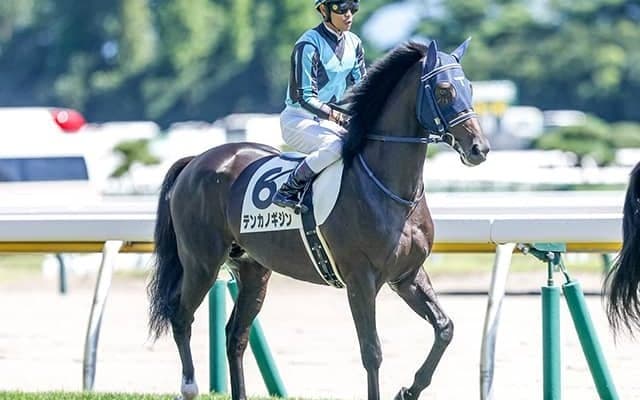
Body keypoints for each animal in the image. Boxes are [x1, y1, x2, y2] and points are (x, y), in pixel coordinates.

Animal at [147, 39, 490, 400]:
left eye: (469, 87)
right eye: (443, 90)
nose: (479, 148)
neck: (390, 190)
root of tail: (196, 160)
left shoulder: (407, 275)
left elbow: (444, 328)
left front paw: (408, 390)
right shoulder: (360, 279)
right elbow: (372, 351)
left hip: (254, 270)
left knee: (236, 335)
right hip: (201, 262)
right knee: (181, 317)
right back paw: (189, 386)